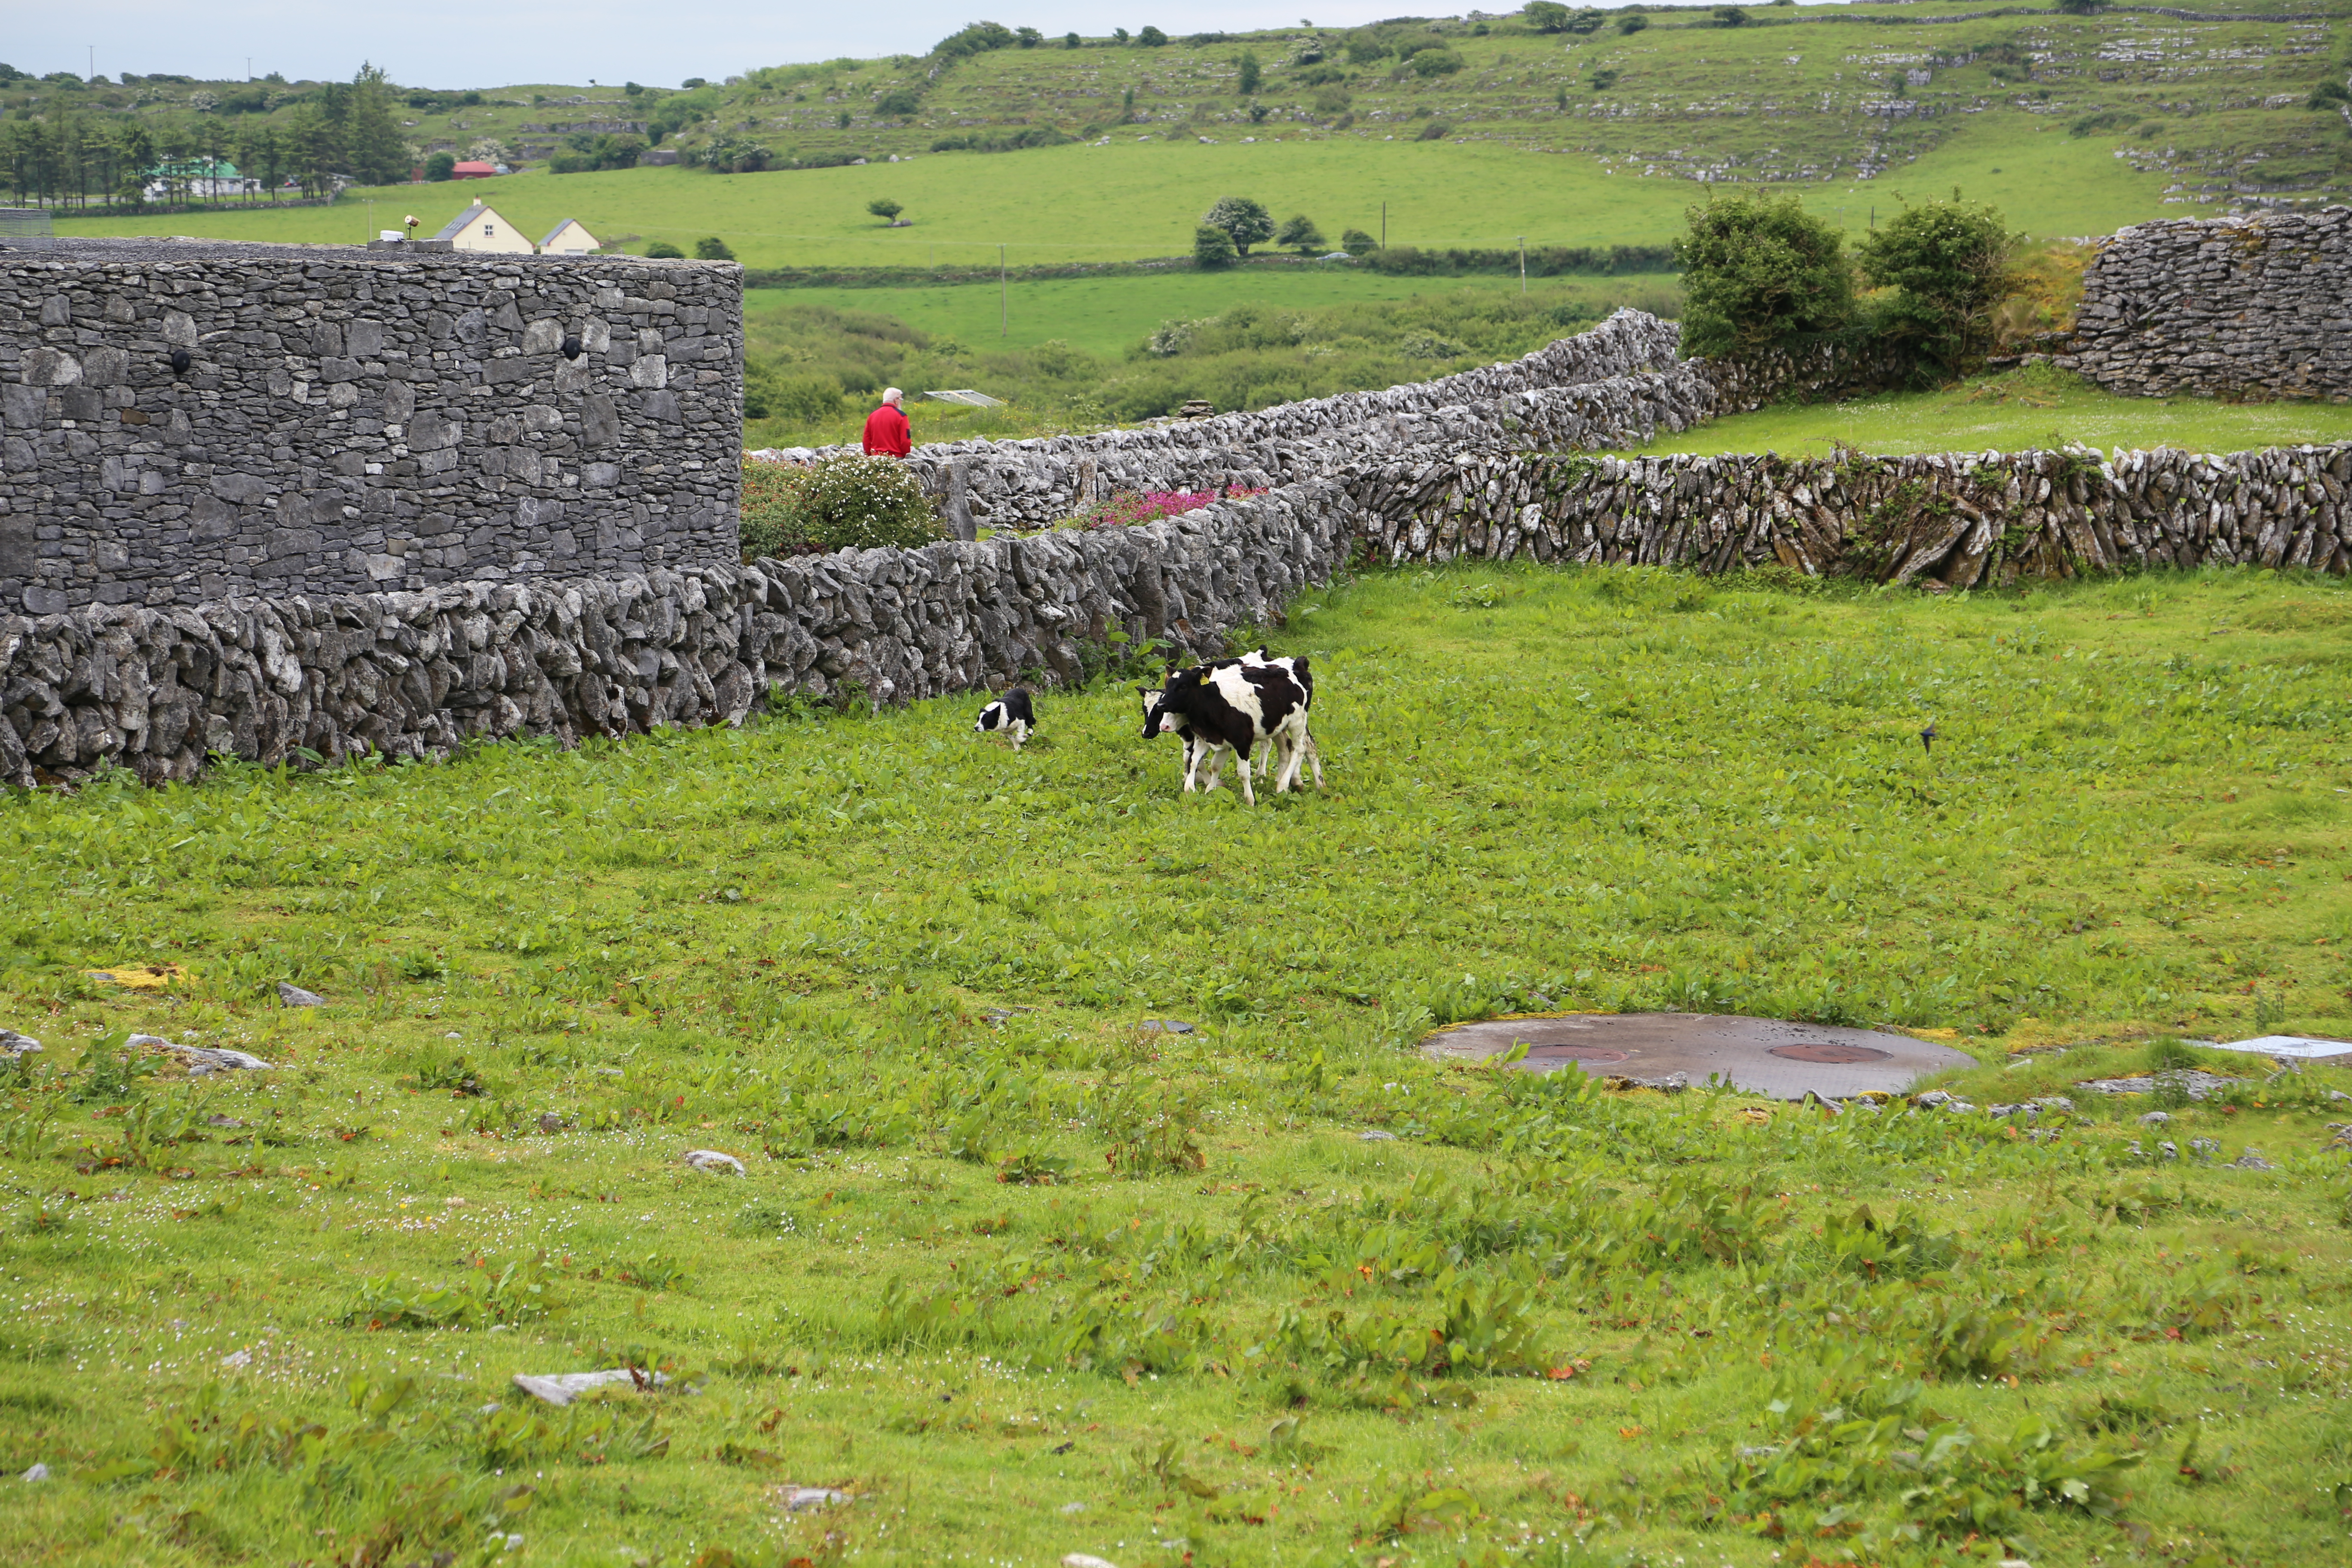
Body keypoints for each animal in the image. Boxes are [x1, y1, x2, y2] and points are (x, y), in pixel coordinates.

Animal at [978, 691, 1044, 752]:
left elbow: (1019, 736)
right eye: (978, 719)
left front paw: (1021, 740)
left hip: (1028, 713)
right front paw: (1017, 747)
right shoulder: (1005, 731)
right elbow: (1012, 738)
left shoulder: (1021, 719)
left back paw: (1029, 733)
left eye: (986, 720)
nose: (976, 728)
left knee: (1030, 725)